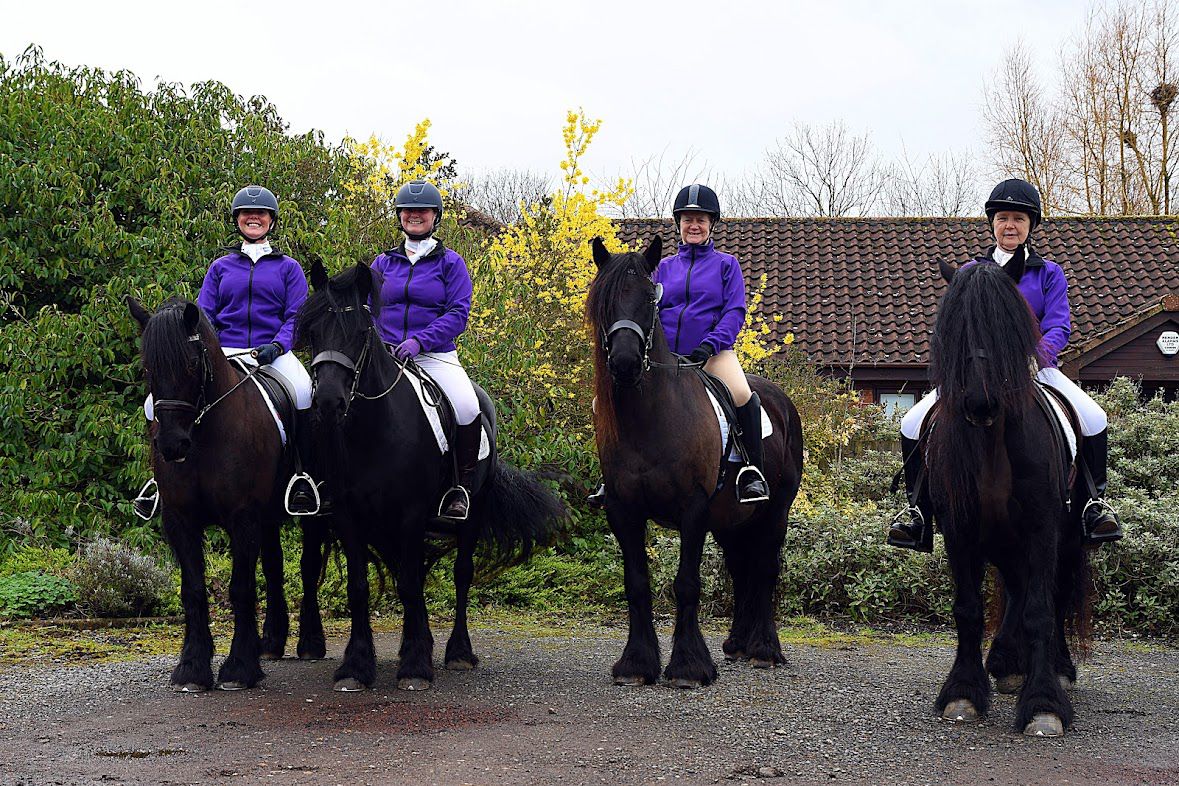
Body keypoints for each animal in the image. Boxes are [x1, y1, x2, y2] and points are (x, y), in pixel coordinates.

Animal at [127, 298, 327, 692]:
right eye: (147, 368)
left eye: (191, 365)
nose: (172, 445)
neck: (204, 435)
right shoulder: (180, 519)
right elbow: (193, 589)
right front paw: (192, 667)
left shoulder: (243, 517)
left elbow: (241, 588)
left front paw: (238, 668)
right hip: (268, 516)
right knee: (275, 565)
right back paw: (271, 642)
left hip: (309, 513)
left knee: (308, 566)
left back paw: (310, 643)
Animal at [297, 261, 568, 692]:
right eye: (312, 330)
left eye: (361, 332)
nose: (327, 402)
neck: (374, 429)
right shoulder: (348, 516)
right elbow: (360, 587)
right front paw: (356, 666)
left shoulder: (410, 514)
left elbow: (411, 584)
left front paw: (414, 667)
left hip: (469, 515)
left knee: (460, 575)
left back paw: (457, 653)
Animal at [584, 238, 806, 688]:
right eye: (602, 302)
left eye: (650, 300)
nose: (625, 365)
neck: (652, 418)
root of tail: (783, 402)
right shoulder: (623, 510)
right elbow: (636, 583)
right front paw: (636, 664)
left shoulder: (694, 508)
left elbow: (686, 583)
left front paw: (688, 667)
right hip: (731, 518)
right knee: (741, 569)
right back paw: (737, 644)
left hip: (774, 510)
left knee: (765, 568)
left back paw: (764, 650)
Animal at [924, 261, 1089, 735]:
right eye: (954, 326)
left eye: (1006, 324)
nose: (980, 403)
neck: (991, 444)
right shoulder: (959, 530)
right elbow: (968, 609)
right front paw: (962, 692)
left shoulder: (1042, 528)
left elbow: (1041, 610)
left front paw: (1043, 703)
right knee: (1017, 588)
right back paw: (1007, 664)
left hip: (1066, 539)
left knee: (1054, 594)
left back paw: (1055, 670)